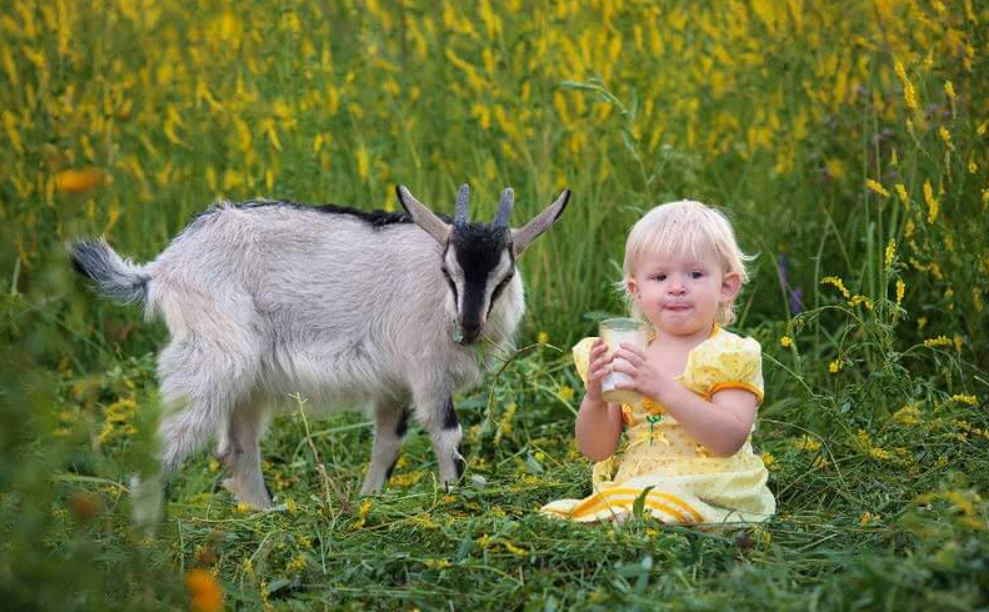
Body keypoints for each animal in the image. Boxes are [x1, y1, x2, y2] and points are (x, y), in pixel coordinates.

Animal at [71, 184, 572, 510]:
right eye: (447, 270)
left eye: (505, 276)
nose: (467, 327)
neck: (439, 297)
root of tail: (160, 269)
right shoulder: (426, 372)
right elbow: (447, 434)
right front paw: (454, 496)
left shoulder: (393, 383)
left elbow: (388, 443)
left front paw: (369, 501)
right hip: (210, 357)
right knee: (168, 445)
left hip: (247, 379)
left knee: (238, 446)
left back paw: (265, 513)